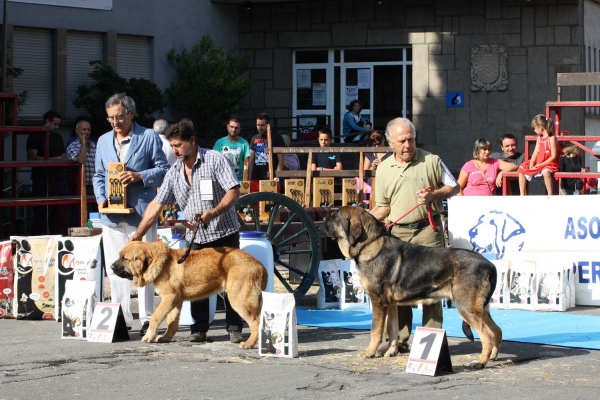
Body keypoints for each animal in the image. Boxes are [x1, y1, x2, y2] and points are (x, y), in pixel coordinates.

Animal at [111, 241, 266, 346]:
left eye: (125, 258)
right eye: (120, 256)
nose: (111, 267)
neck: (159, 262)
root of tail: (260, 265)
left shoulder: (169, 298)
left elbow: (155, 317)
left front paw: (149, 336)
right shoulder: (175, 301)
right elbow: (171, 322)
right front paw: (166, 337)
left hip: (239, 299)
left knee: (256, 322)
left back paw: (249, 343)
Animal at [324, 206, 502, 368]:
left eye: (335, 215)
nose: (324, 219)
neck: (369, 244)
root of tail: (490, 265)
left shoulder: (378, 302)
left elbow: (375, 330)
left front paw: (369, 353)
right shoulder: (390, 305)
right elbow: (392, 329)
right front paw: (391, 352)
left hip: (467, 308)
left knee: (487, 336)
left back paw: (480, 362)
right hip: (481, 309)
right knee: (497, 331)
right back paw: (493, 357)